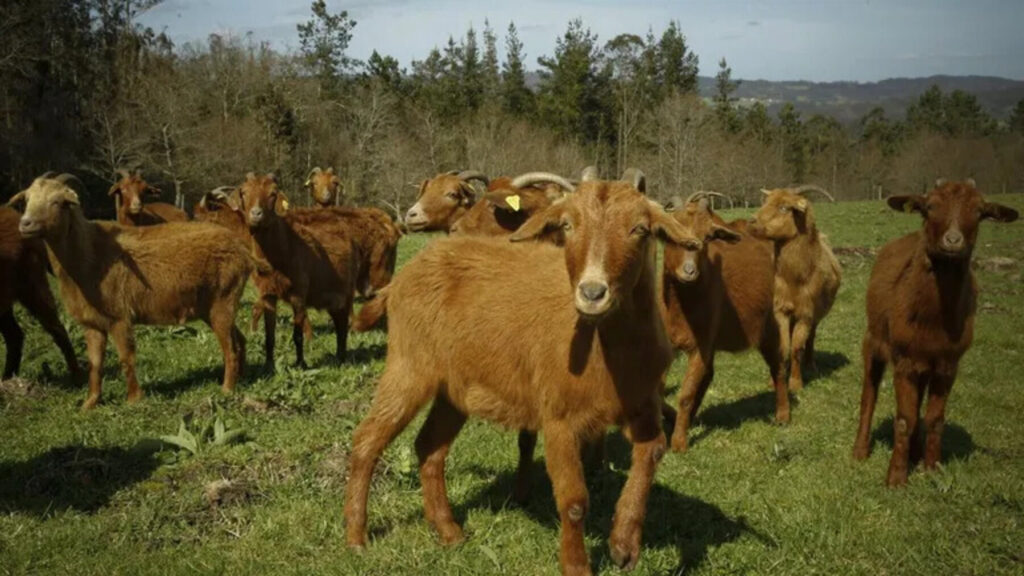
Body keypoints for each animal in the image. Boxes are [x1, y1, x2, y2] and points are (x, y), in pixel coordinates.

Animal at [12, 174, 255, 408]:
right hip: (213, 307)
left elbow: (126, 359)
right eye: (27, 200)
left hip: (223, 301)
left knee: (230, 349)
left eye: (57, 202)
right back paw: (242, 379)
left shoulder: (120, 318)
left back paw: (227, 389)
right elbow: (95, 364)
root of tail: (241, 249)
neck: (89, 255)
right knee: (239, 340)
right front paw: (90, 404)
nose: (25, 224)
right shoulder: (93, 324)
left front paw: (133, 399)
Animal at [344, 173, 702, 576]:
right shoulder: (559, 418)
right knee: (367, 440)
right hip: (408, 366)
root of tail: (407, 272)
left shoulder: (643, 403)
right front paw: (576, 566)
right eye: (567, 225)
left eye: (640, 229)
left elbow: (652, 452)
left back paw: (448, 530)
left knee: (429, 447)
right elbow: (574, 501)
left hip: (455, 389)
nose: (593, 293)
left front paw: (624, 543)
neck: (606, 349)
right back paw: (356, 536)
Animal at [662, 192, 788, 452]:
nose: (689, 271)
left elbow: (686, 394)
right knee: (708, 375)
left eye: (708, 237)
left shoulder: (700, 346)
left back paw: (783, 415)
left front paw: (679, 442)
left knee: (778, 366)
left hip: (768, 325)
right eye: (671, 234)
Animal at [749, 186, 841, 390]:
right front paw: (775, 380)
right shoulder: (780, 309)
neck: (794, 278)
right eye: (766, 202)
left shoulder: (806, 313)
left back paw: (811, 365)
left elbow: (797, 347)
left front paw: (796, 382)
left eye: (784, 207)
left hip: (816, 315)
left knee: (811, 338)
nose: (752, 222)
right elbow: (784, 346)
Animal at [852, 179, 1017, 486]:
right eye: (930, 207)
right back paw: (860, 451)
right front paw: (895, 478)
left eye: (979, 211)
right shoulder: (904, 360)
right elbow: (903, 419)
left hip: (926, 366)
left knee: (919, 405)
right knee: (869, 394)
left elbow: (934, 418)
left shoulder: (948, 364)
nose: (953, 241)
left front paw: (931, 468)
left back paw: (916, 454)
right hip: (873, 340)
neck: (933, 319)